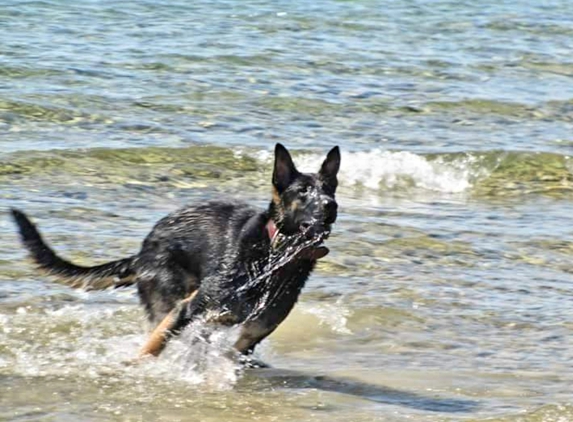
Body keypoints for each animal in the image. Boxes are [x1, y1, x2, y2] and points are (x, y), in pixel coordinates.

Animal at [11, 143, 340, 364]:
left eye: (329, 189)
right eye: (303, 191)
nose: (331, 205)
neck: (275, 253)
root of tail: (143, 251)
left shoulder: (250, 334)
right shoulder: (187, 309)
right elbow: (153, 346)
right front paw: (136, 366)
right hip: (168, 296)